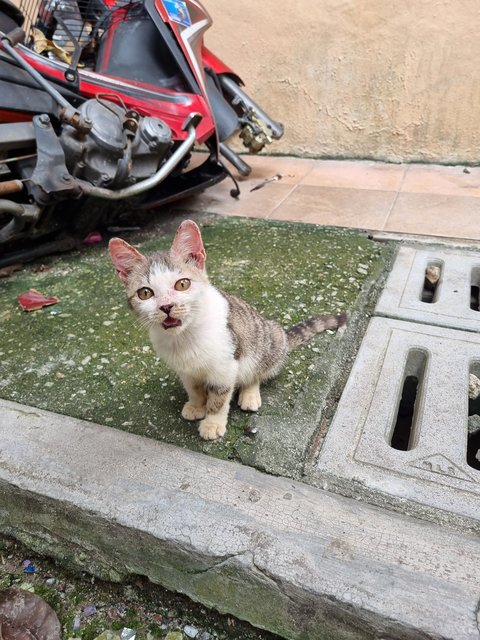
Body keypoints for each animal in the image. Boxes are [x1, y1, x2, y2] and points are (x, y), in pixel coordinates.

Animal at [109, 220, 344, 440]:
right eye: (145, 293)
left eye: (182, 284)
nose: (166, 306)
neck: (185, 337)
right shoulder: (184, 370)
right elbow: (193, 388)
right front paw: (196, 405)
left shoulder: (225, 365)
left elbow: (220, 397)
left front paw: (212, 422)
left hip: (268, 340)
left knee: (257, 371)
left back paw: (250, 394)